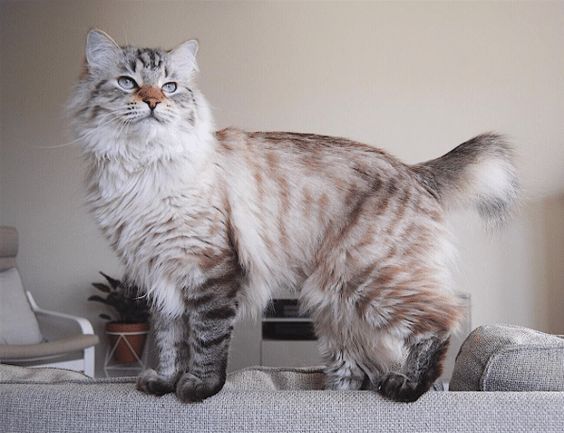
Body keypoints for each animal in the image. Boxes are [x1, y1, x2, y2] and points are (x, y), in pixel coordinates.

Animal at [70, 29, 520, 402]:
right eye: (127, 82)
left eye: (170, 87)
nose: (152, 102)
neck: (144, 169)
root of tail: (411, 168)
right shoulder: (161, 277)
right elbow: (168, 341)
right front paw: (163, 383)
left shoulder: (209, 272)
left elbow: (205, 340)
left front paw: (197, 388)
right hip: (333, 304)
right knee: (355, 371)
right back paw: (335, 395)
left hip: (371, 278)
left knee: (441, 319)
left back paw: (408, 386)